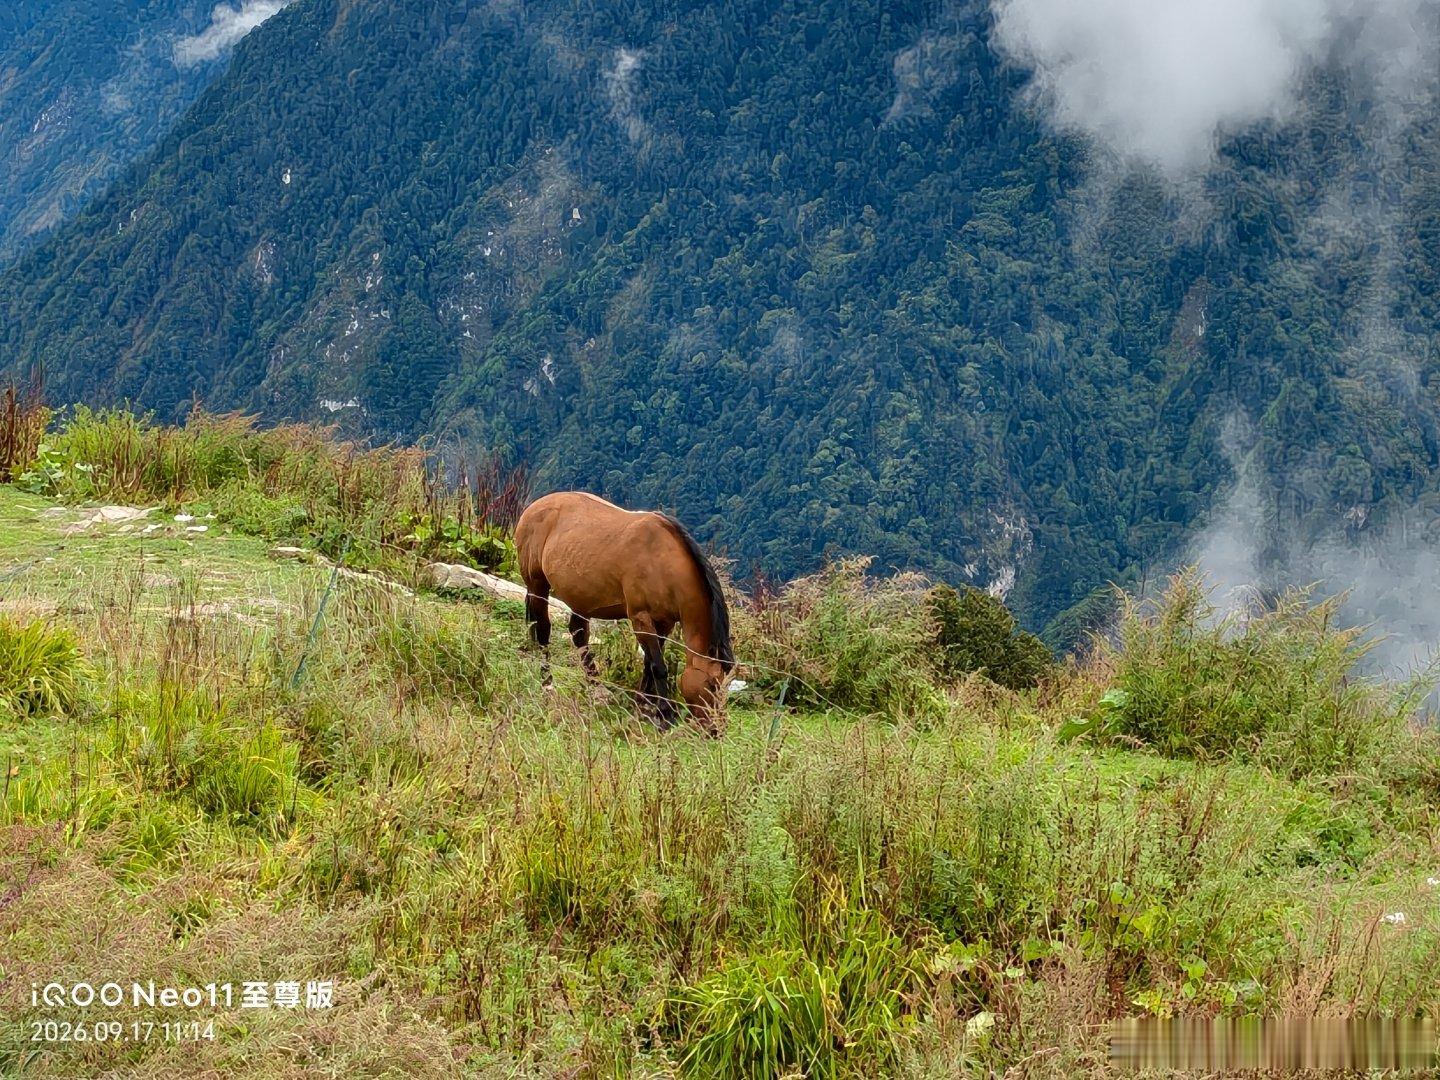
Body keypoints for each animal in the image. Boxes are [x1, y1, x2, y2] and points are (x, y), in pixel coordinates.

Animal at [514, 491, 735, 732]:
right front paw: (665, 715)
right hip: (537, 585)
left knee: (579, 634)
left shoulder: (664, 623)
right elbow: (658, 666)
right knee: (544, 631)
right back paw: (548, 684)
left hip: (581, 598)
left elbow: (649, 664)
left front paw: (644, 705)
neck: (662, 562)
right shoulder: (641, 618)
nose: (716, 730)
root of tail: (535, 506)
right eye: (713, 685)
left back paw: (597, 690)